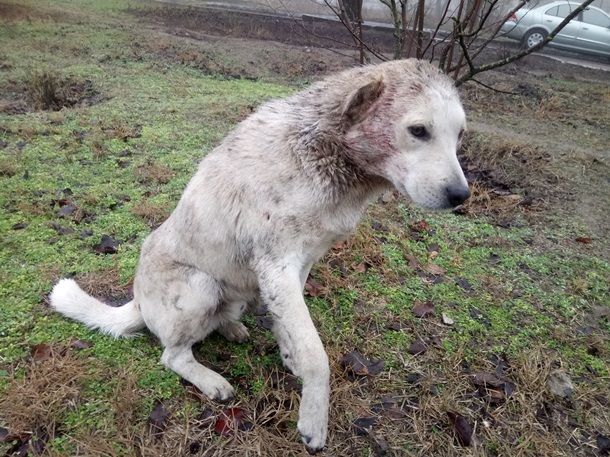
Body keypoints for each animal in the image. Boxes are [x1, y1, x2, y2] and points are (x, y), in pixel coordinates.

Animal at [50, 58, 468, 450]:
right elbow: (316, 354)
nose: (461, 196)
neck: (325, 152)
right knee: (173, 356)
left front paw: (288, 353)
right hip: (199, 286)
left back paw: (231, 327)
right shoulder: (277, 266)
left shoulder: (298, 266)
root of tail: (136, 302)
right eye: (419, 130)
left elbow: (289, 325)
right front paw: (314, 420)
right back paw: (211, 380)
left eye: (460, 135)